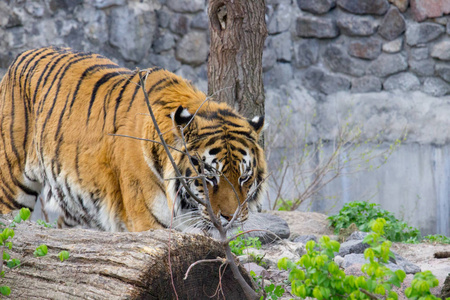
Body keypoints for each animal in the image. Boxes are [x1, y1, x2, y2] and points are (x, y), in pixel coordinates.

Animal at [0, 47, 268, 234]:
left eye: (244, 177)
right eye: (209, 177)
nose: (230, 218)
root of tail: (20, 56)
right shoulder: (148, 223)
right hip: (12, 187)